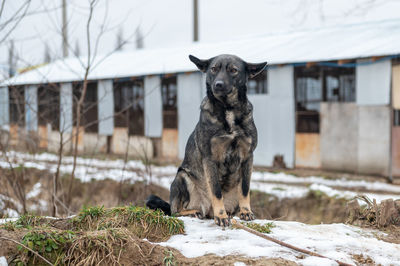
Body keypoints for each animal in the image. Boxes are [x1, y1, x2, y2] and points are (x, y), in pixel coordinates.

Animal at [145, 54, 268, 227]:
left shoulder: (247, 157)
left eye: (233, 70)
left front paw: (246, 212)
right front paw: (221, 216)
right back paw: (194, 212)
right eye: (214, 69)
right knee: (175, 211)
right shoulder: (210, 159)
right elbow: (216, 191)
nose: (218, 84)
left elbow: (245, 189)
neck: (227, 109)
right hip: (182, 177)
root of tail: (206, 210)